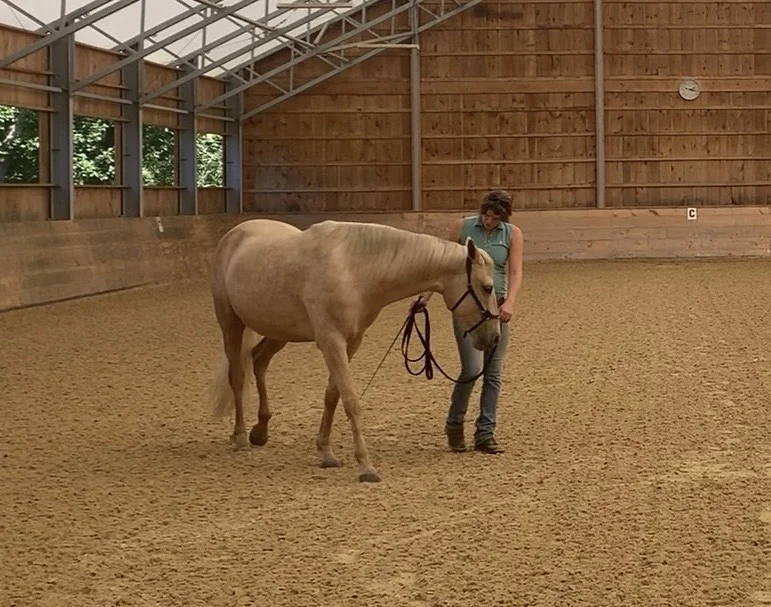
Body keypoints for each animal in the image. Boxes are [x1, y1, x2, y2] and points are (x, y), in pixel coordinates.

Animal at [206, 218, 501, 483]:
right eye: (487, 287)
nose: (495, 337)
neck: (354, 269)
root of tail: (235, 233)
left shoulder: (351, 342)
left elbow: (332, 396)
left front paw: (326, 452)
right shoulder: (331, 342)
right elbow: (350, 400)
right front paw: (366, 467)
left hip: (279, 331)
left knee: (259, 360)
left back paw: (260, 431)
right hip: (230, 323)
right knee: (237, 376)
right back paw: (241, 436)